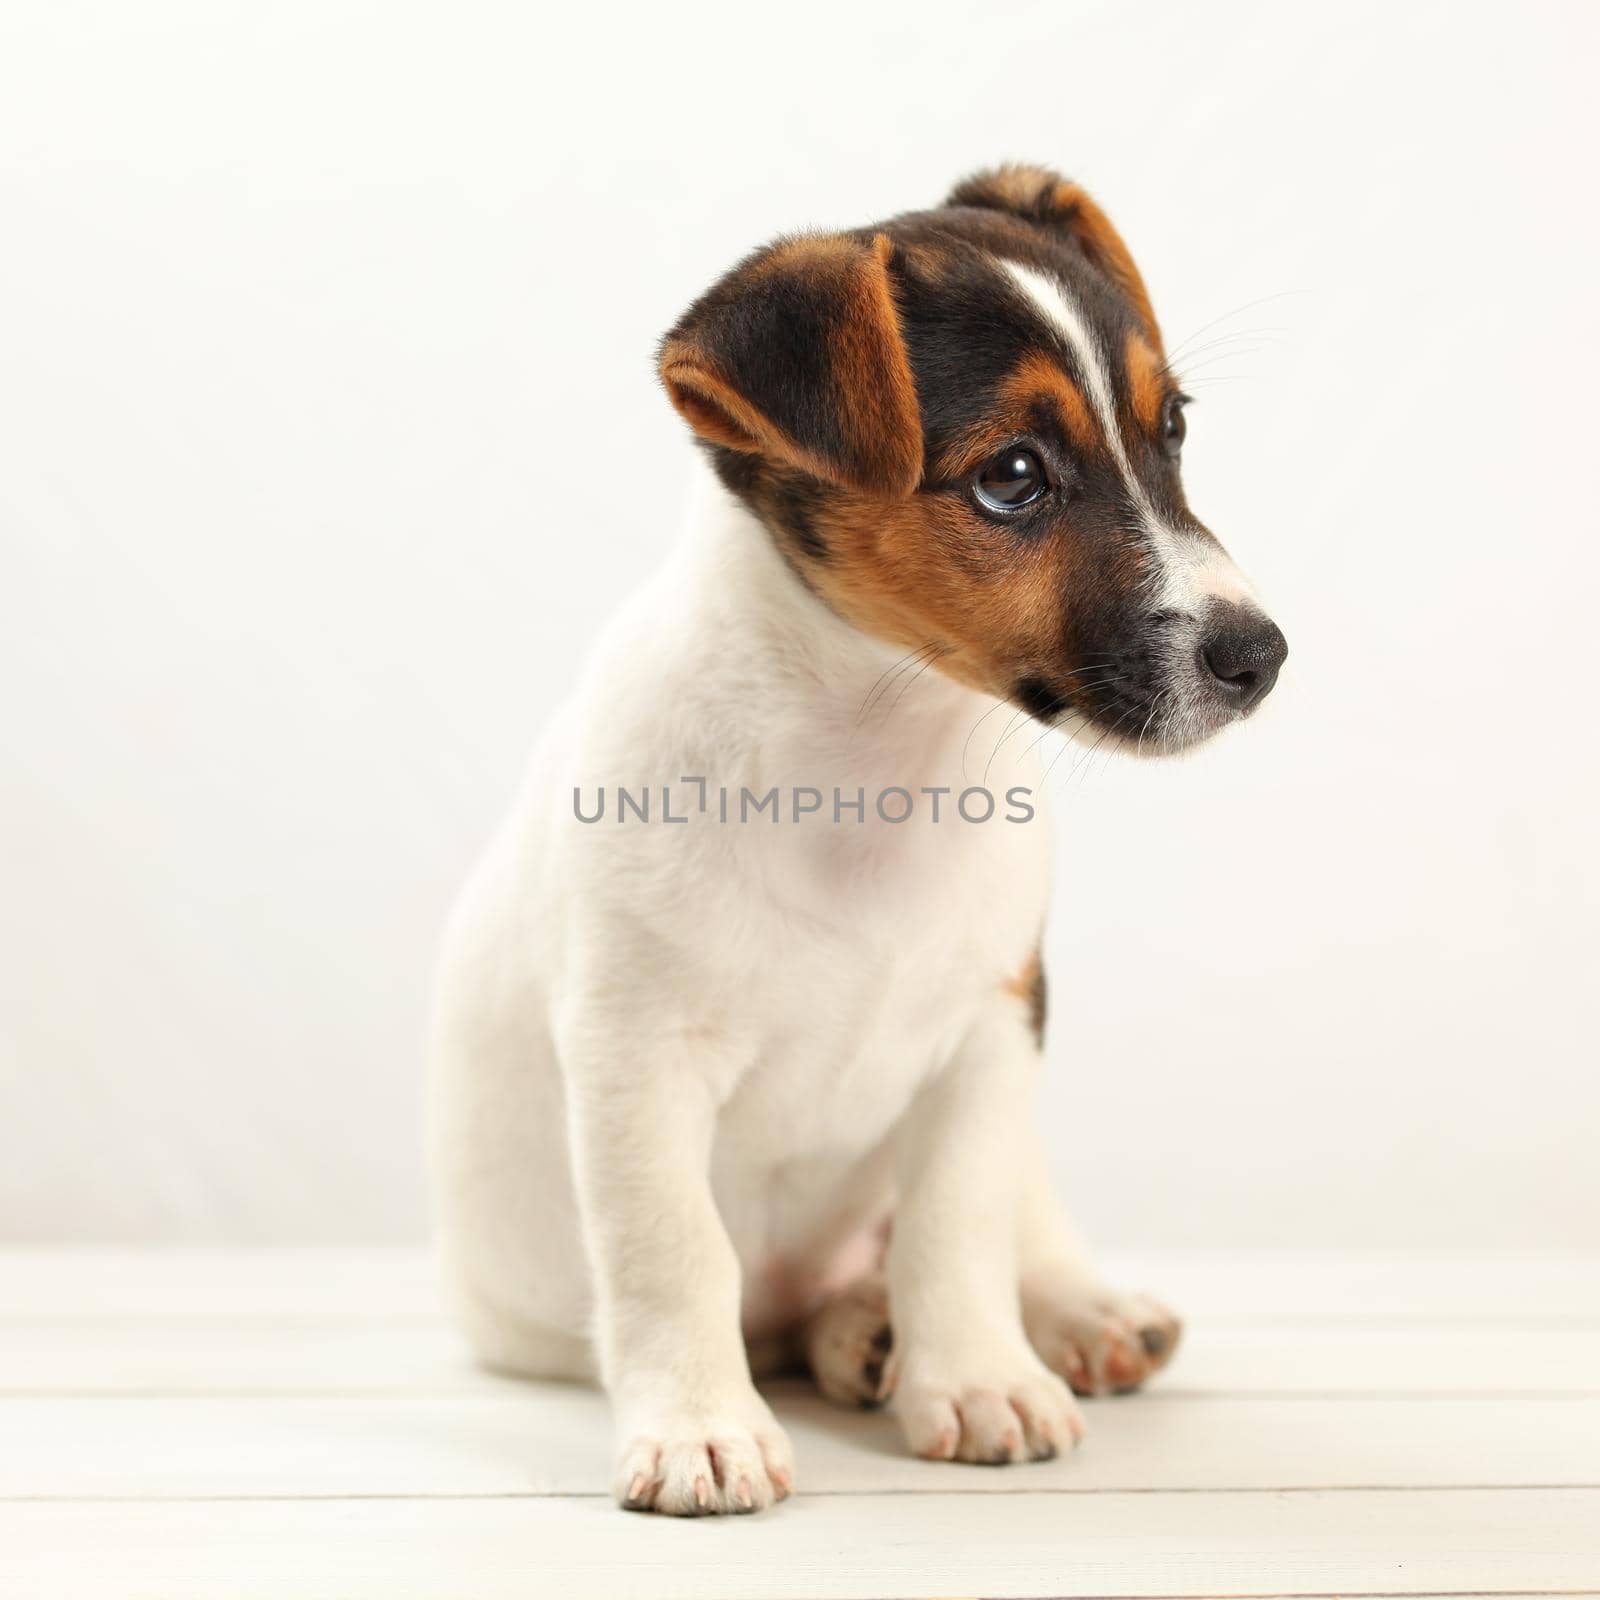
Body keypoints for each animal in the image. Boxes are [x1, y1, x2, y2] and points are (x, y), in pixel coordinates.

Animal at [428, 168, 1286, 1516]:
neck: (875, 769)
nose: (1260, 656)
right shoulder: (633, 1056)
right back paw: (854, 1338)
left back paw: (1068, 1313)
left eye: (1173, 430)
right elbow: (674, 1248)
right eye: (1013, 475)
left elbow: (958, 1223)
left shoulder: (992, 1030)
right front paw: (699, 1429)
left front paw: (979, 1376)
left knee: (1014, 1225)